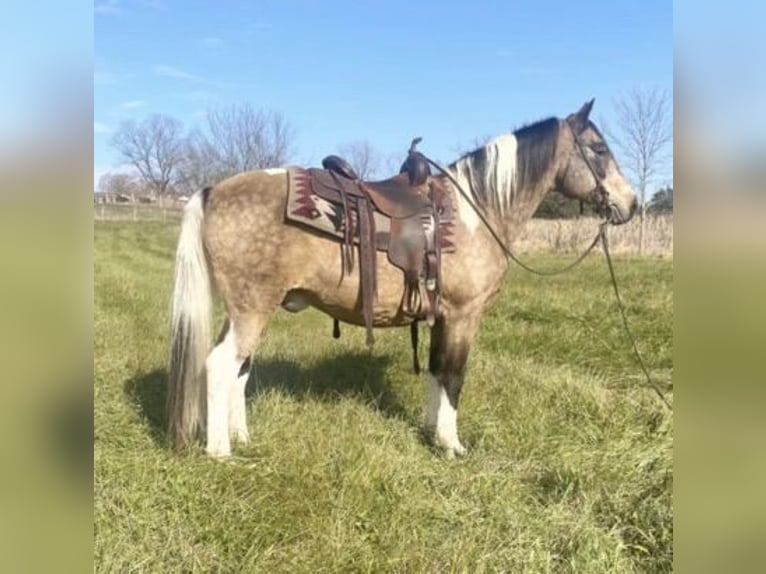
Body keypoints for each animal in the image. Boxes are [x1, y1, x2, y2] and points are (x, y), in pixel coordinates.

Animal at [170, 99, 640, 460]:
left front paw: (432, 432)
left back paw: (241, 437)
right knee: (221, 365)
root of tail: (212, 191)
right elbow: (453, 376)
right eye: (598, 148)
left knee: (239, 369)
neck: (475, 211)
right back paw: (221, 452)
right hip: (252, 307)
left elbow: (436, 372)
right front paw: (451, 445)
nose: (631, 204)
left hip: (247, 310)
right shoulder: (463, 316)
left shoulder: (440, 316)